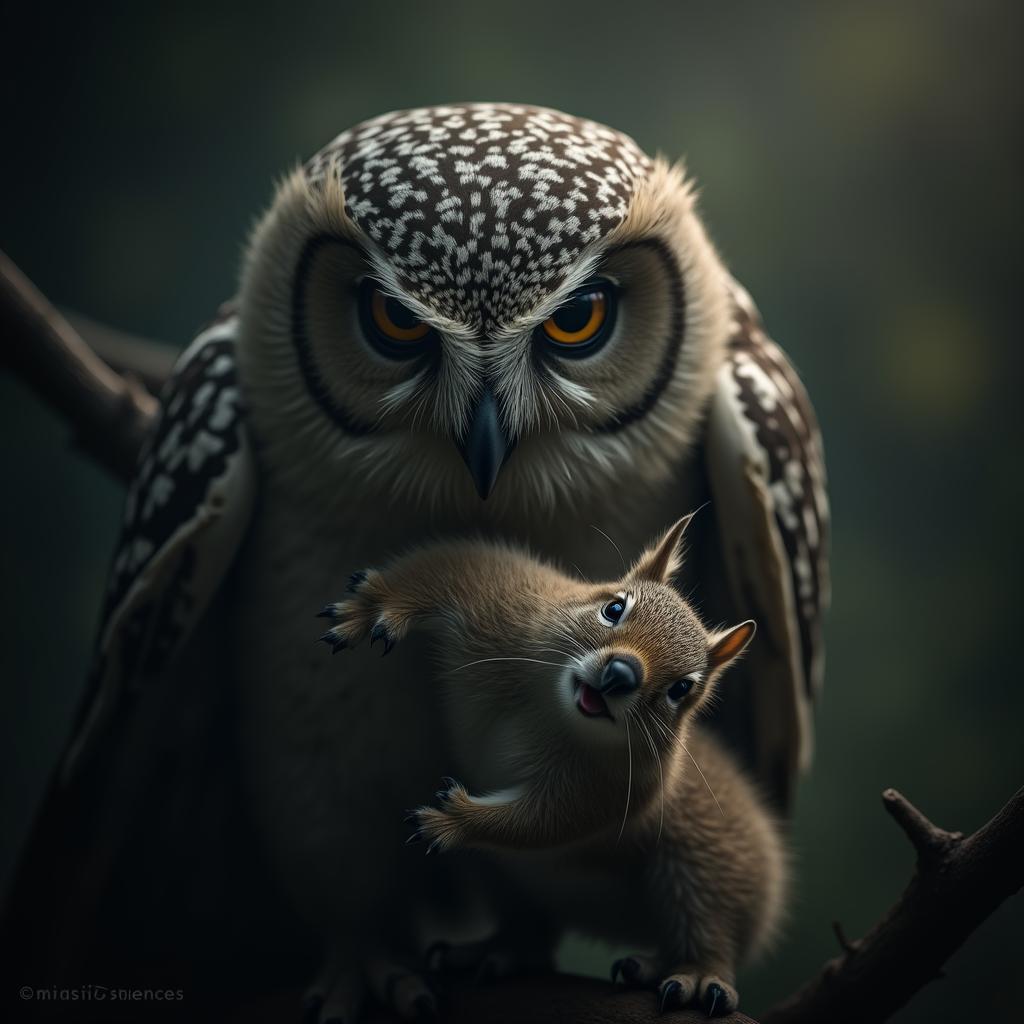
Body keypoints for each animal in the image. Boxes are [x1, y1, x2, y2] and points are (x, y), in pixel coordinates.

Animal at [317, 513, 787, 1017]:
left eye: (683, 689)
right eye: (614, 607)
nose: (620, 674)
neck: (551, 711)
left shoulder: (610, 788)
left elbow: (546, 821)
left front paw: (454, 820)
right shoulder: (504, 604)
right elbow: (448, 567)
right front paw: (374, 605)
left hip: (708, 865)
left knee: (710, 930)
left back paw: (693, 974)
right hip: (506, 881)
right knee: (532, 928)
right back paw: (499, 949)